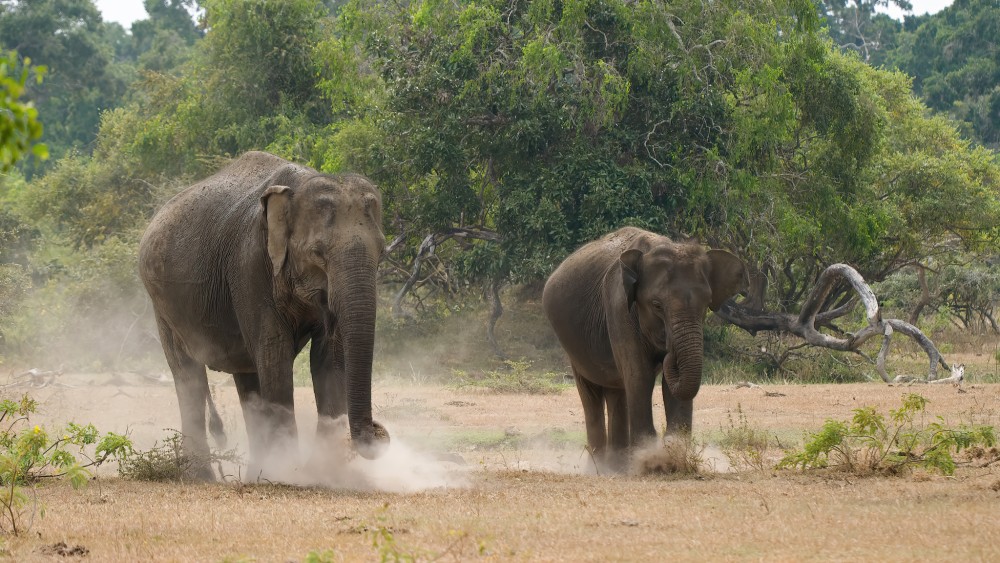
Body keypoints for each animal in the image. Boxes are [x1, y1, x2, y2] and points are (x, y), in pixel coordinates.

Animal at [139, 152, 388, 478]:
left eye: (382, 252)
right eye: (317, 253)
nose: (379, 432)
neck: (298, 186)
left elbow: (328, 357)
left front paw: (325, 473)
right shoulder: (250, 266)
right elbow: (275, 351)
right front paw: (293, 475)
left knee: (247, 377)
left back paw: (256, 473)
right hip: (162, 306)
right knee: (188, 374)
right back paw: (204, 477)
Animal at [544, 227, 748, 470]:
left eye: (706, 304)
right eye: (656, 305)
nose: (667, 350)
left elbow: (669, 385)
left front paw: (673, 458)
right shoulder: (619, 307)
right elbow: (640, 375)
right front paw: (652, 463)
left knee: (617, 391)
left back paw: (618, 465)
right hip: (574, 347)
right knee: (592, 393)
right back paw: (600, 468)